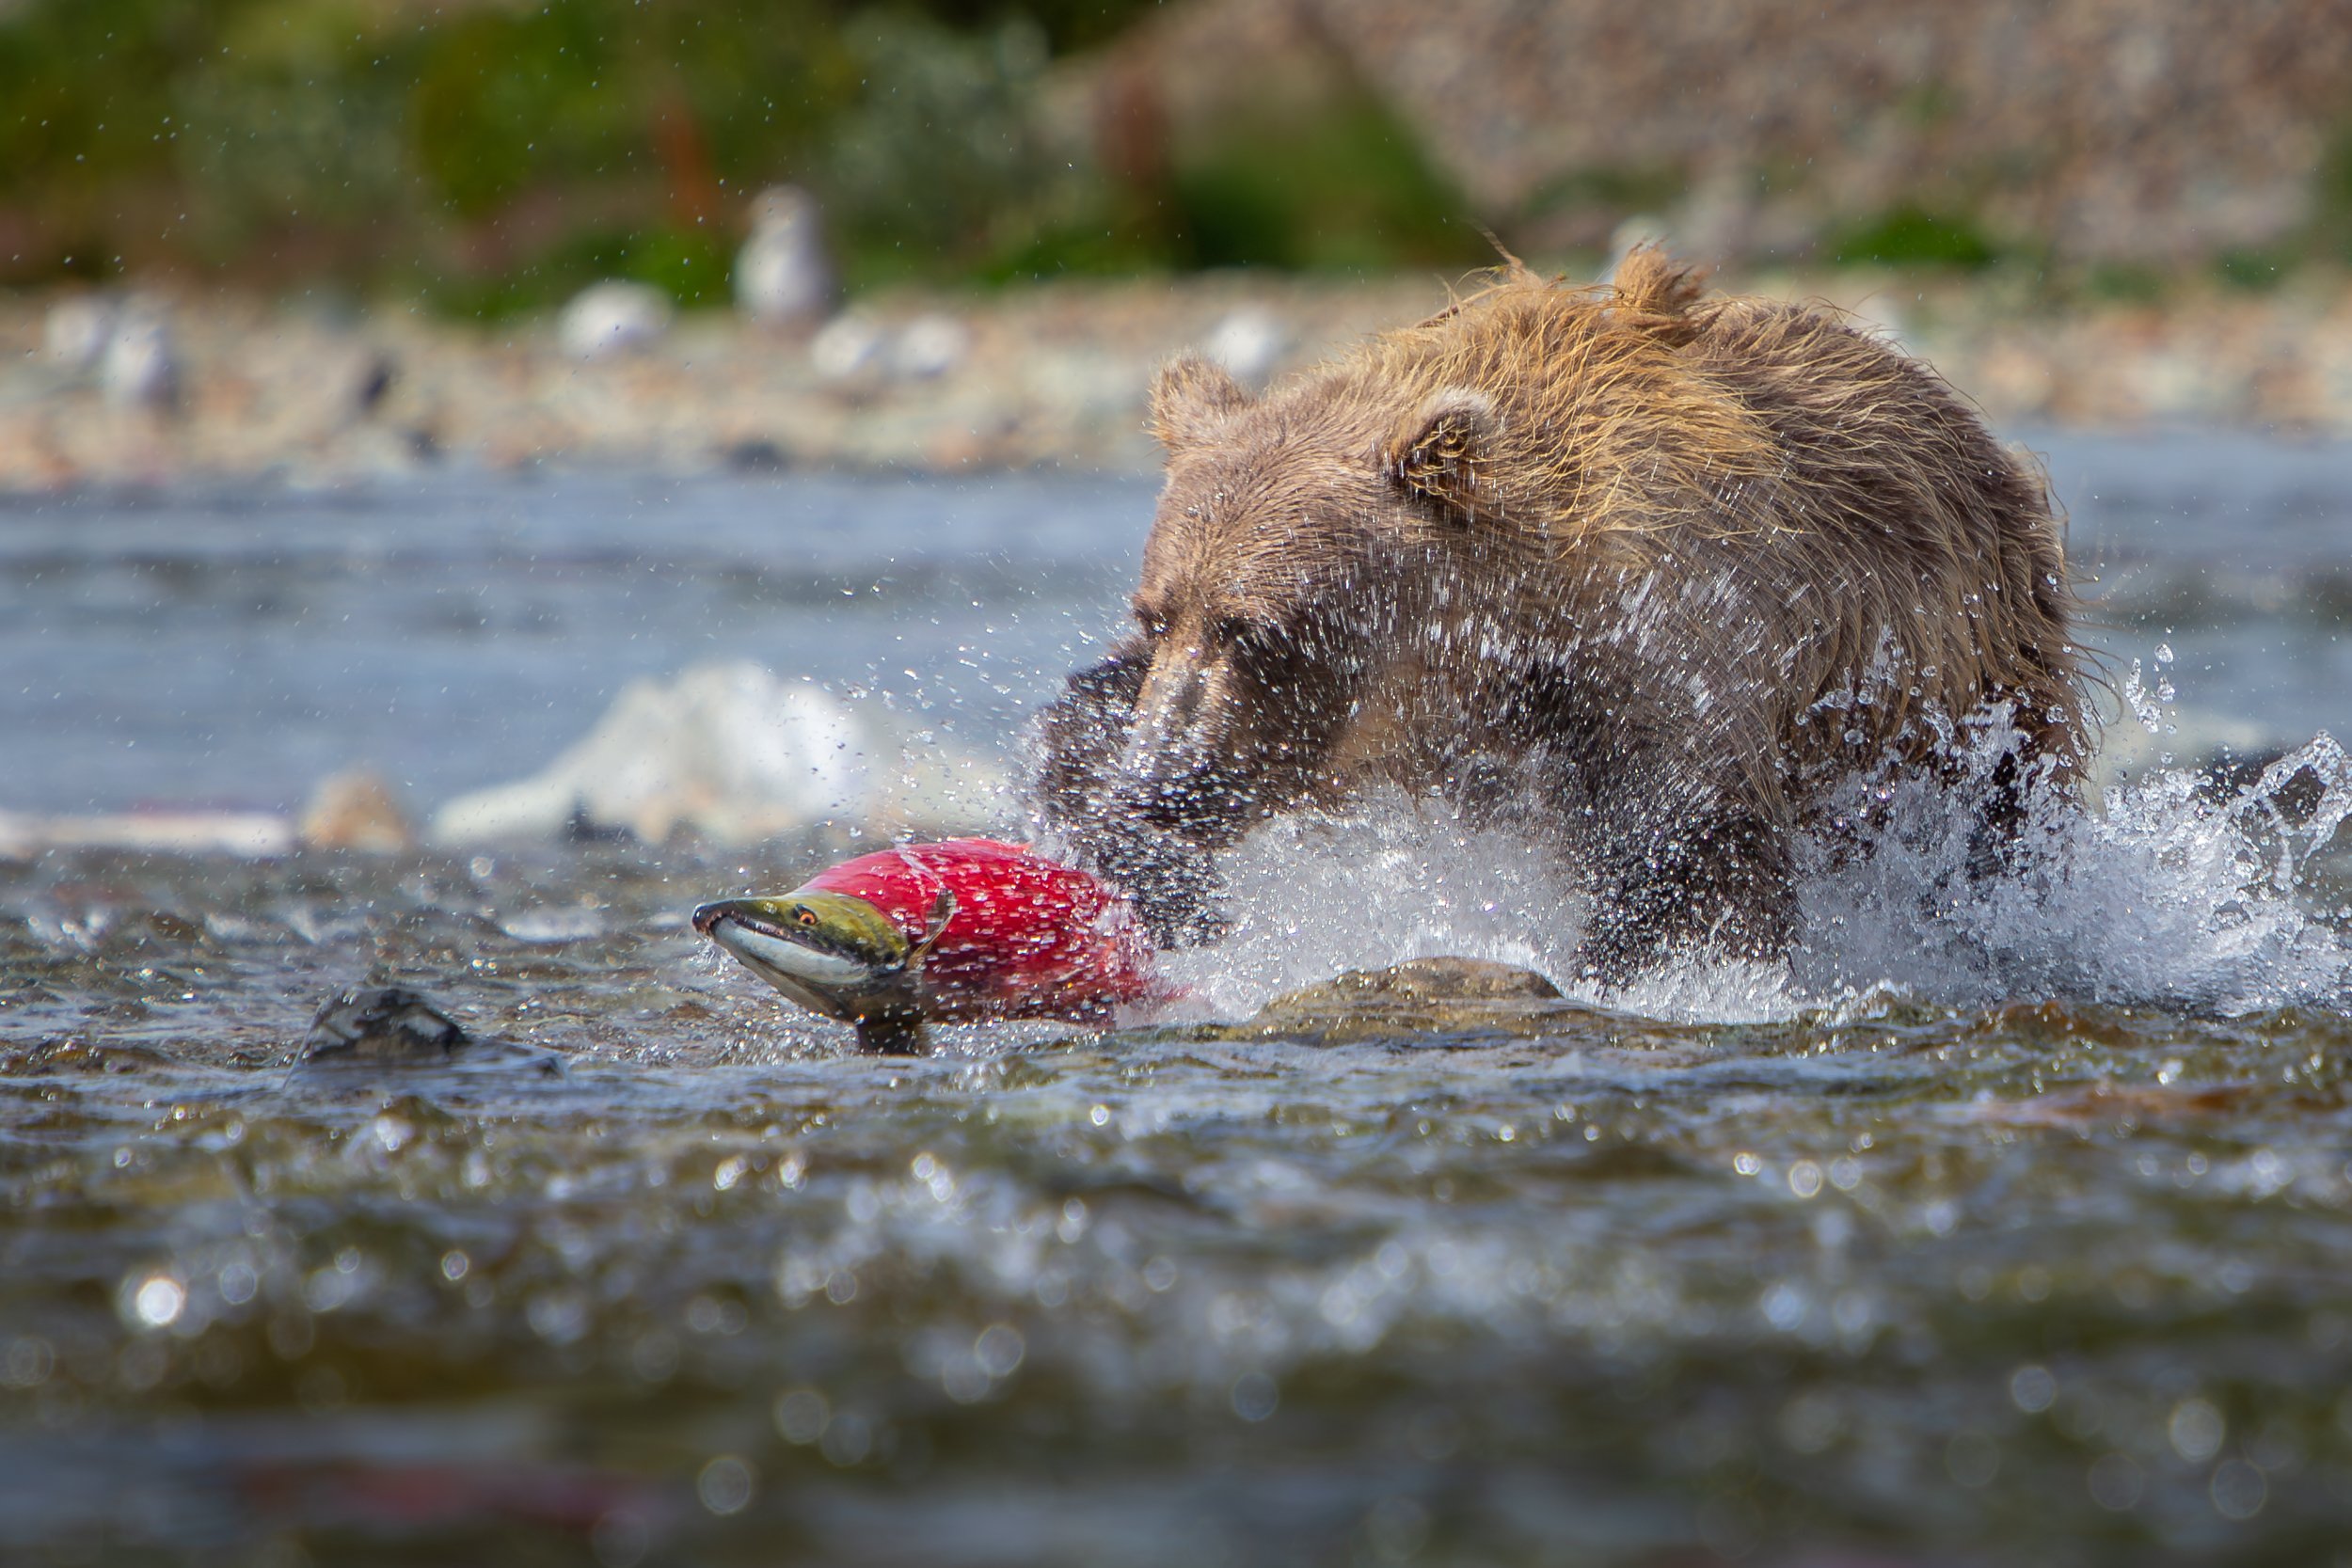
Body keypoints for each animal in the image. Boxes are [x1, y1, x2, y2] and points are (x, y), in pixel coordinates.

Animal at [1034, 249, 2086, 986]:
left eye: (1256, 627)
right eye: (1156, 613)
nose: (1162, 780)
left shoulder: (1665, 655)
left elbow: (1684, 852)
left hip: (1960, 683)